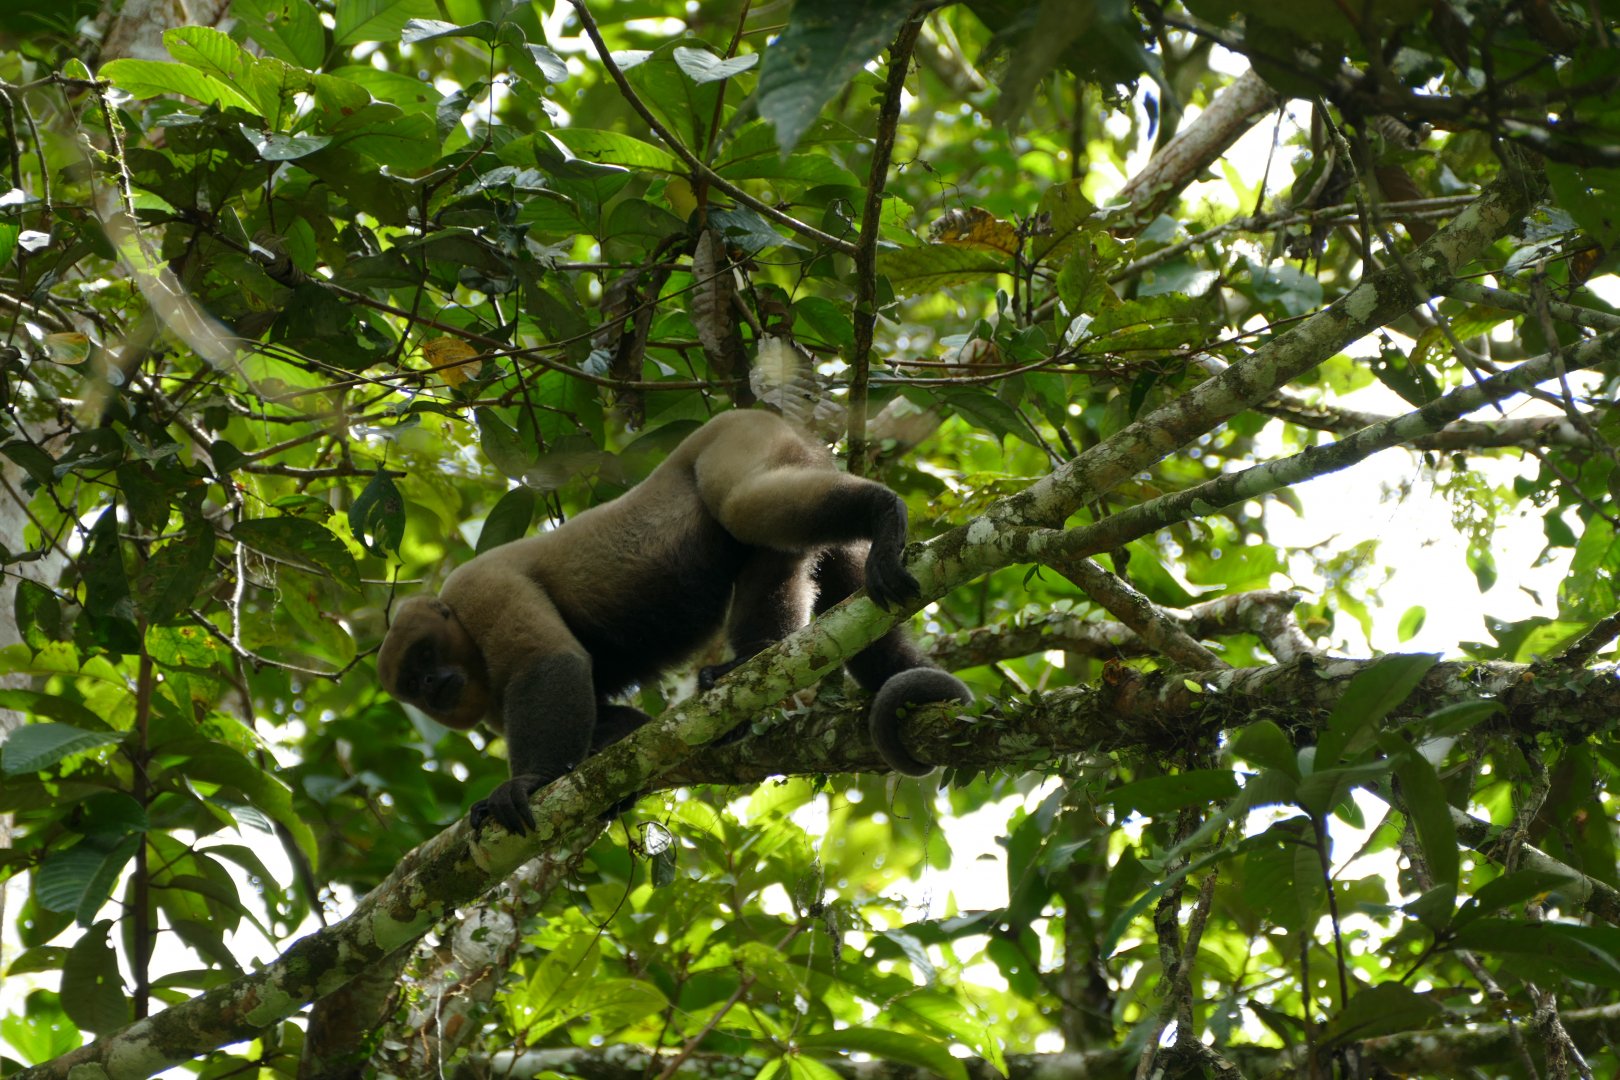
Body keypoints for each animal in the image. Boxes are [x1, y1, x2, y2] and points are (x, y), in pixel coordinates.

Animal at [376, 409, 972, 835]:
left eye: (424, 654)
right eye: (412, 684)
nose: (433, 684)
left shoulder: (480, 589)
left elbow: (549, 663)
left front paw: (525, 782)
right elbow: (613, 728)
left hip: (743, 437)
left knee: (744, 508)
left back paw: (881, 512)